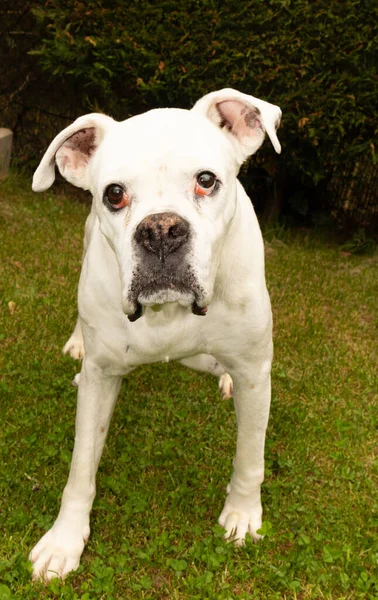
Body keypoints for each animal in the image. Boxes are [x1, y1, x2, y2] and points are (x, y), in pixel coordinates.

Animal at [28, 86, 280, 580]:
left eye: (206, 180)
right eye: (114, 194)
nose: (161, 230)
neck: (169, 313)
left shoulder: (256, 374)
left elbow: (250, 456)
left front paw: (243, 515)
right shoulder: (104, 380)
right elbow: (81, 468)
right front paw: (64, 540)